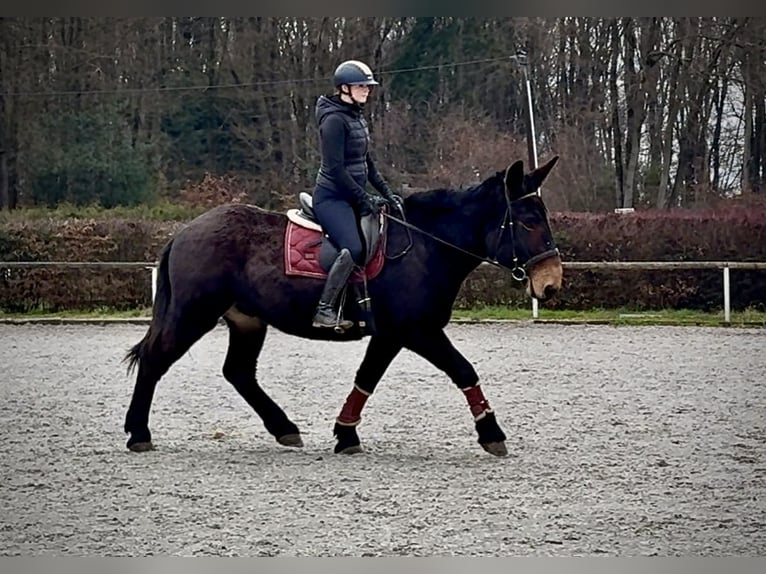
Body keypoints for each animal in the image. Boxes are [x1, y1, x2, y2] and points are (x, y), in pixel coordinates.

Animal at [124, 156, 563, 457]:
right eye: (527, 220)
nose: (551, 283)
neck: (425, 245)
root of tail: (186, 231)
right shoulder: (417, 331)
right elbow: (463, 370)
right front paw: (492, 434)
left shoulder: (391, 335)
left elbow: (366, 379)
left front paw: (346, 433)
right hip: (192, 314)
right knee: (155, 359)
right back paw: (138, 433)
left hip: (247, 321)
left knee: (239, 373)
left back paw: (284, 428)